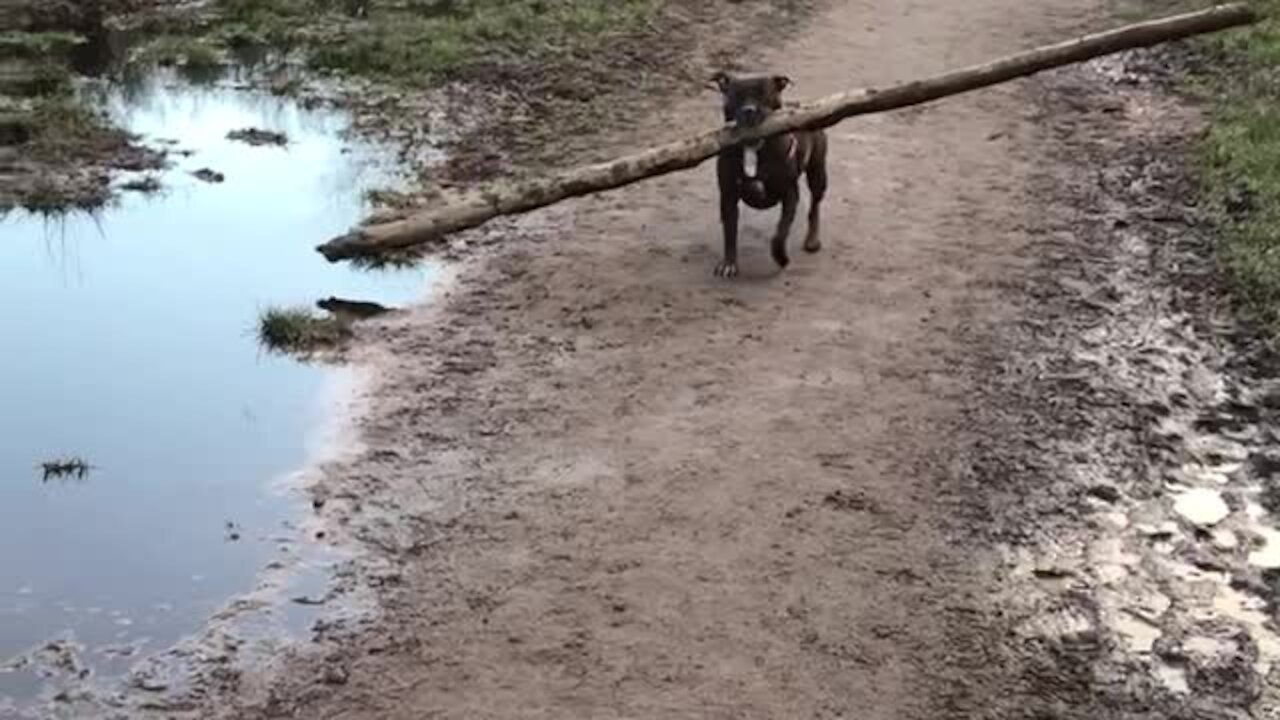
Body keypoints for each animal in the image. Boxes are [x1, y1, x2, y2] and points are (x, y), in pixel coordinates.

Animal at [711, 71, 829, 275]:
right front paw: (729, 263)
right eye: (736, 96)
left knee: (815, 205)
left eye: (764, 94)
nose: (749, 110)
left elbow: (781, 231)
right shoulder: (728, 194)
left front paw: (780, 257)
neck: (753, 147)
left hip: (818, 173)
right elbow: (730, 230)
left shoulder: (790, 194)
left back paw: (812, 240)